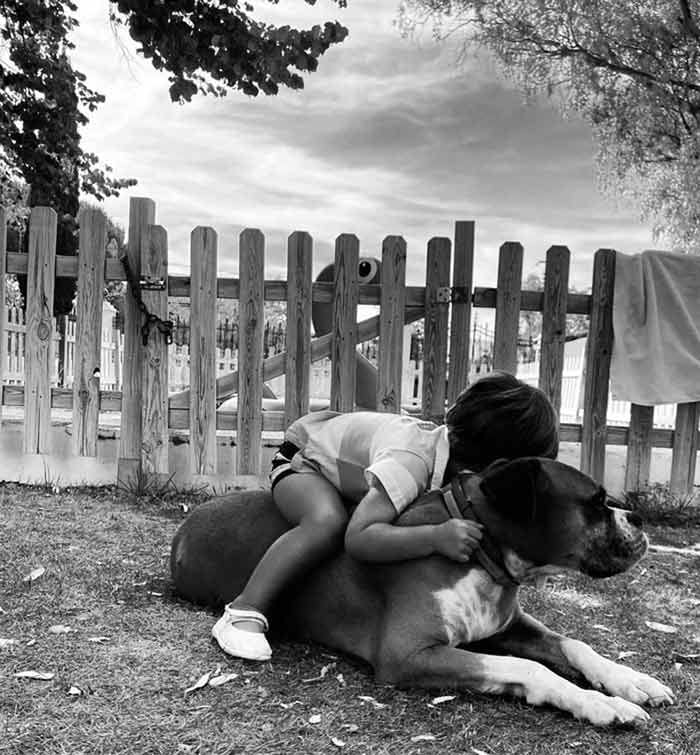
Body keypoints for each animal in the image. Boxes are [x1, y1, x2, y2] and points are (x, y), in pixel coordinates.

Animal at [168, 454, 672, 728]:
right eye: (595, 502)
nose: (638, 517)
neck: (483, 549)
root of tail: (186, 525)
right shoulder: (409, 654)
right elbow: (527, 667)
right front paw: (599, 705)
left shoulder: (506, 626)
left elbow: (575, 644)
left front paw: (631, 682)